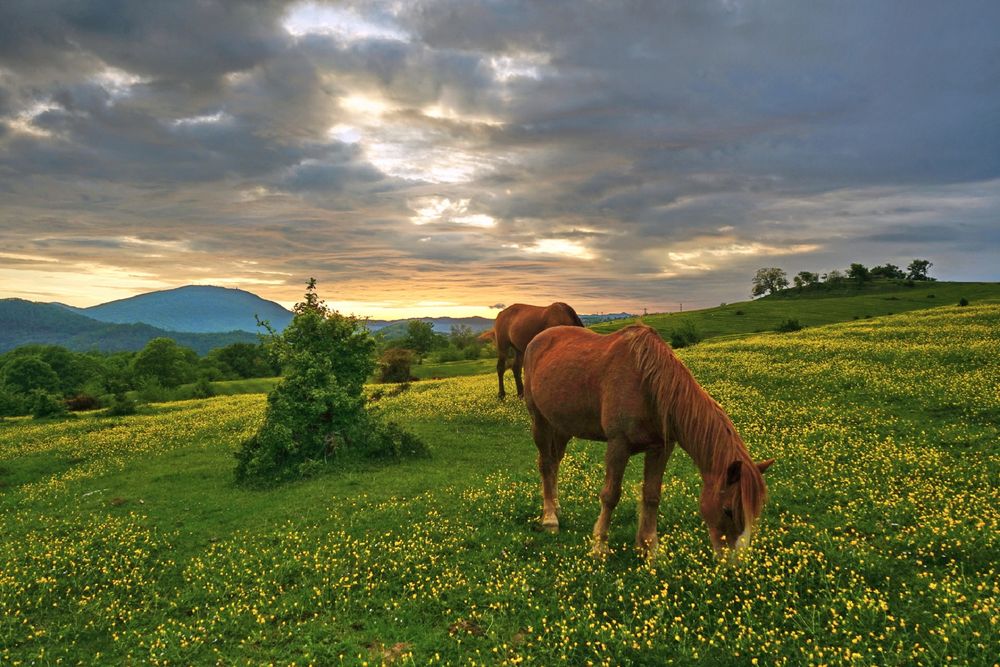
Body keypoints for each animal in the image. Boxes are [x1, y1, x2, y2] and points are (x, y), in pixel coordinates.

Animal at [524, 324, 772, 560]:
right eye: (728, 510)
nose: (735, 563)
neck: (649, 385)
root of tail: (536, 340)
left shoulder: (661, 448)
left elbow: (652, 496)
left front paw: (650, 549)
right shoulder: (618, 445)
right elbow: (610, 495)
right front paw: (600, 547)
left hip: (561, 427)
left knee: (554, 462)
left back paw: (556, 506)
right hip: (540, 421)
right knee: (545, 464)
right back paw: (550, 519)